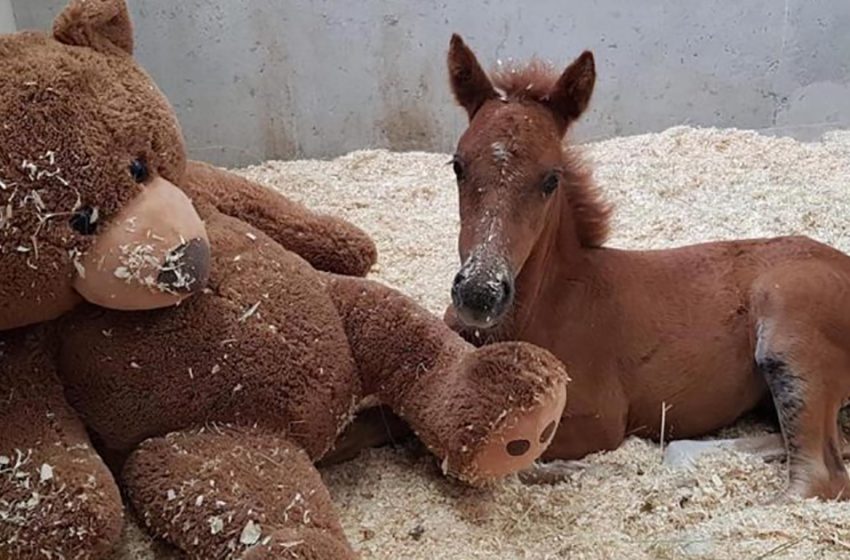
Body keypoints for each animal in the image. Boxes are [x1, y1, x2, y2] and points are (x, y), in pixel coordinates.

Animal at [444, 34, 848, 498]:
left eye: (551, 179)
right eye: (458, 165)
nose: (479, 294)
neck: (552, 300)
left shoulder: (598, 421)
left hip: (791, 331)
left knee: (822, 476)